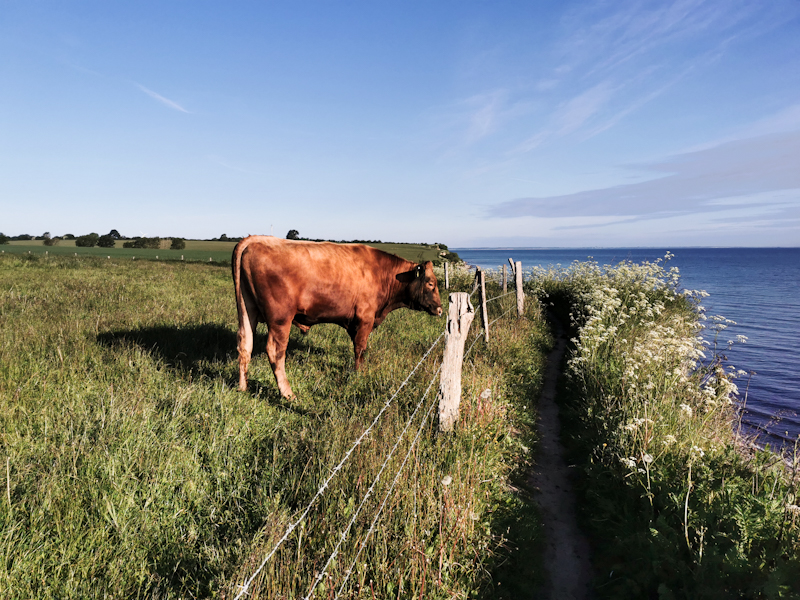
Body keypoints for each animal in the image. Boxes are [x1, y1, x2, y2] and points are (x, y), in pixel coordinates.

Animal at [231, 236, 444, 398]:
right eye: (431, 283)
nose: (441, 309)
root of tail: (257, 239)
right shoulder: (365, 319)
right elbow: (360, 348)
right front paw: (359, 374)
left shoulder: (354, 322)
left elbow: (357, 347)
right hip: (281, 319)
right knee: (275, 352)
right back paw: (287, 393)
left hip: (247, 311)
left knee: (245, 345)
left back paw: (243, 387)